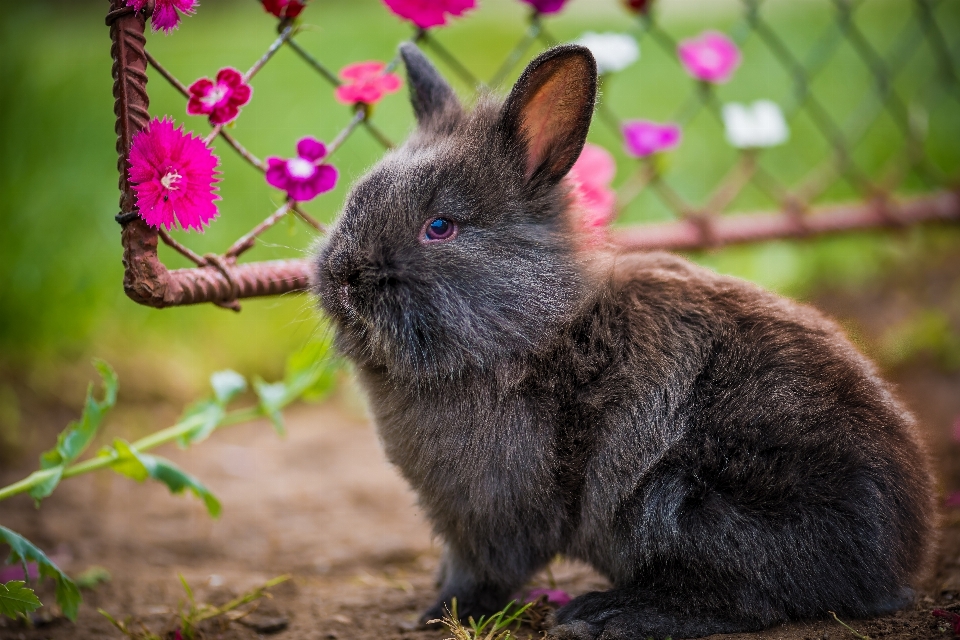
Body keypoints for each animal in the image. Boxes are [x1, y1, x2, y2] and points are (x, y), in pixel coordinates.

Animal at [316, 42, 936, 636]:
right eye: (354, 200)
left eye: (440, 227)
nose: (345, 276)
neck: (530, 331)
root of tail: (891, 563)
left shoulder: (491, 514)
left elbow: (483, 572)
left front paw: (436, 614)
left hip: (686, 504)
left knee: (747, 599)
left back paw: (603, 615)